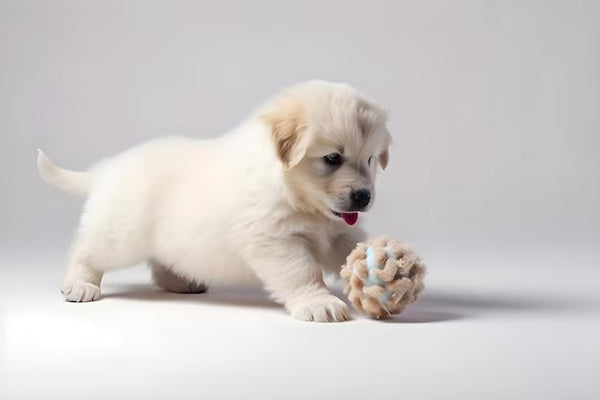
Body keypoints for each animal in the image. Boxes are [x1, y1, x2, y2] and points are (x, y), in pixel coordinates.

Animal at [38, 80, 394, 322]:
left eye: (371, 160)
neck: (299, 197)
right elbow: (302, 272)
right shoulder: (274, 241)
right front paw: (319, 302)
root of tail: (106, 169)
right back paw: (79, 284)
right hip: (121, 235)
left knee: (162, 262)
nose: (363, 196)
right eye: (333, 158)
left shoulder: (336, 232)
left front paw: (380, 267)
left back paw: (181, 283)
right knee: (86, 250)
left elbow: (351, 251)